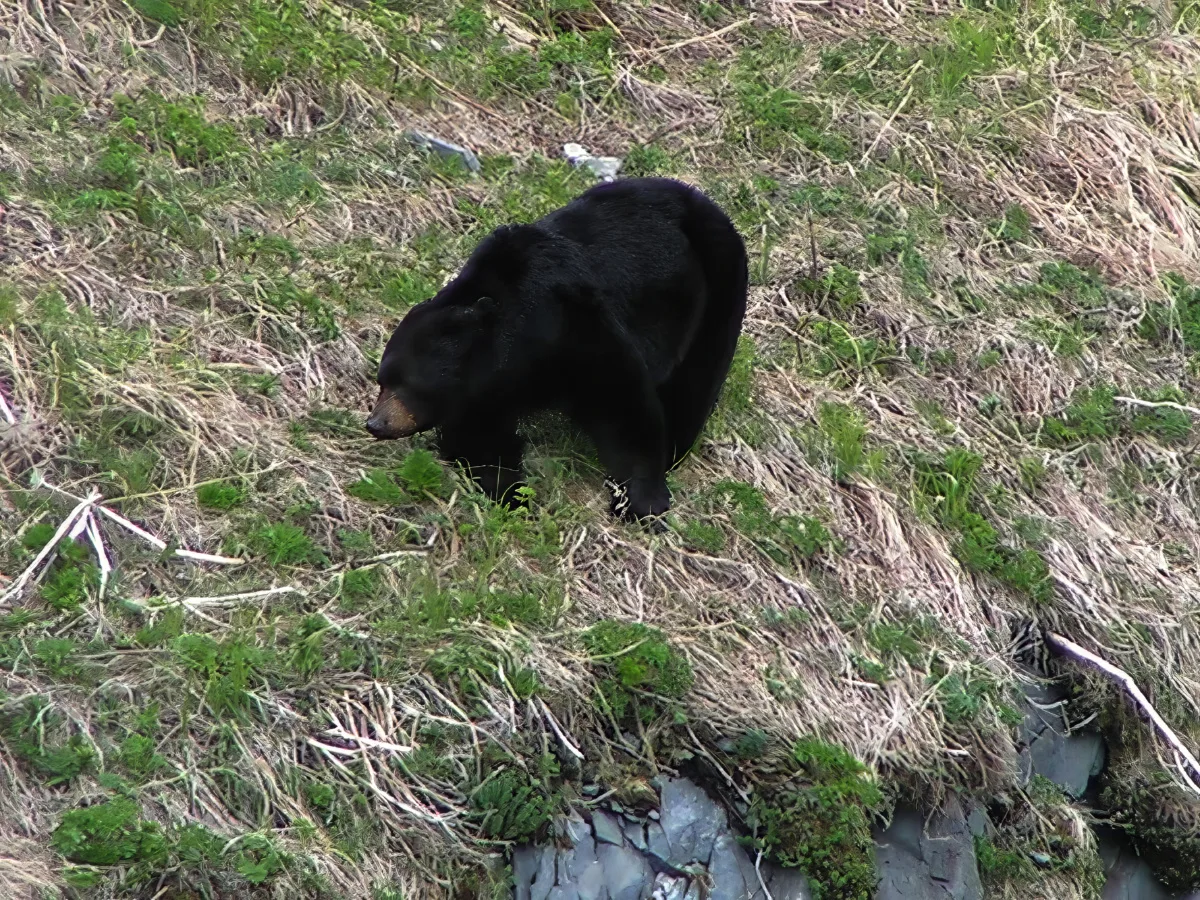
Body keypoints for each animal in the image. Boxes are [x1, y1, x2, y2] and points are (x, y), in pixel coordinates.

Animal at [362, 175, 748, 520]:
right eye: (382, 380)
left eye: (407, 383)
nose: (375, 423)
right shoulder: (484, 388)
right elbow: (481, 436)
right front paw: (511, 494)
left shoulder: (575, 326)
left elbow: (622, 400)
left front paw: (640, 499)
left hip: (717, 285)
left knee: (696, 380)